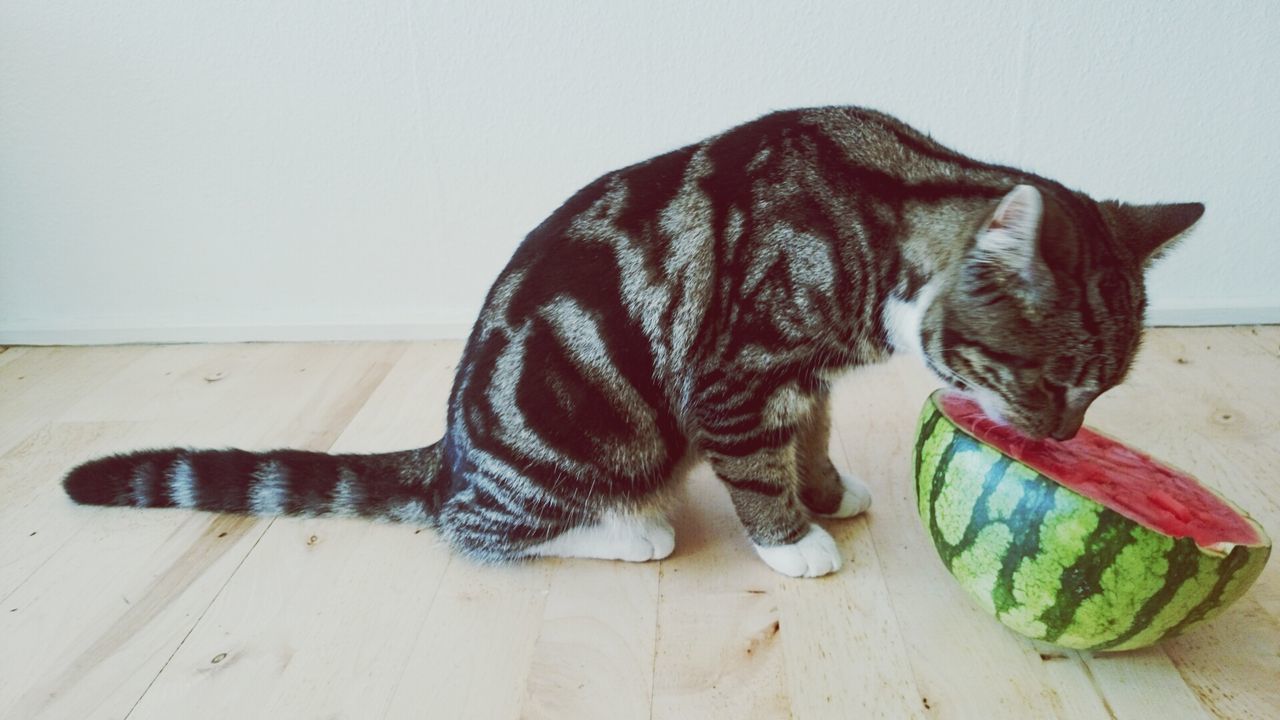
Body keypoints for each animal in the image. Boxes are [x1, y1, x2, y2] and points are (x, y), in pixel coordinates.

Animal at [62, 107, 1198, 576]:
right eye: (1050, 382)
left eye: (1099, 392)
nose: (1063, 442)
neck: (877, 217)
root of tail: (451, 450)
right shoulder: (736, 373)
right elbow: (757, 469)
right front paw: (794, 541)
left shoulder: (807, 376)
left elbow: (812, 435)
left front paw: (827, 488)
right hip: (575, 439)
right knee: (473, 530)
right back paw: (627, 530)